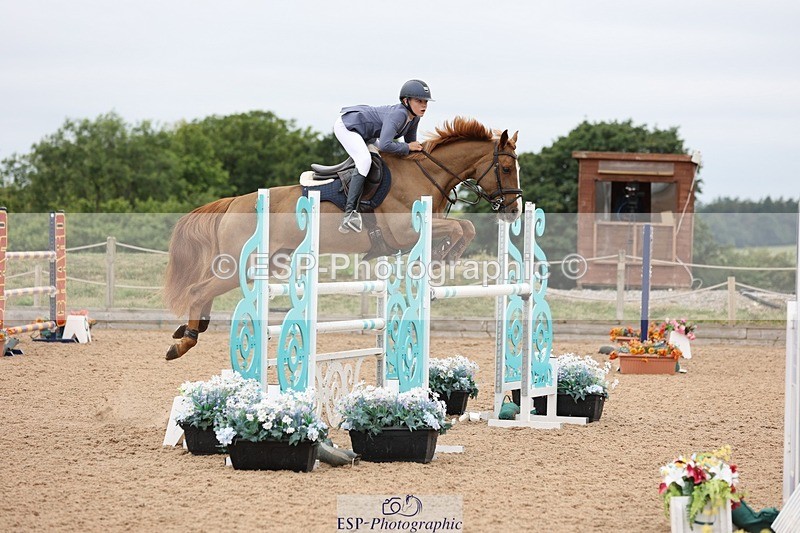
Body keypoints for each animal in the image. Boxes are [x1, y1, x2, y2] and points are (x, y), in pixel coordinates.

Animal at [163, 117, 522, 360]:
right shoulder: (405, 232)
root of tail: (235, 201)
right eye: (506, 169)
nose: (513, 211)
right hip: (243, 263)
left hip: (257, 265)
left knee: (206, 290)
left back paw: (187, 329)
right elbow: (462, 228)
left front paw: (444, 257)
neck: (425, 174)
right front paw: (444, 256)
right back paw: (183, 342)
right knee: (198, 290)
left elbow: (466, 227)